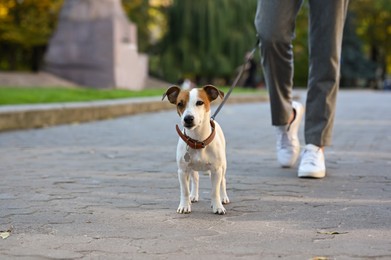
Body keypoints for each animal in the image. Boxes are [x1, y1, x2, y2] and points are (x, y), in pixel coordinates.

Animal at [162, 84, 230, 214]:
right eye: (180, 104)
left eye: (199, 102)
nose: (188, 118)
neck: (198, 141)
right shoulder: (182, 171)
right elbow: (185, 191)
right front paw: (184, 205)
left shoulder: (216, 170)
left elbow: (215, 191)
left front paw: (217, 206)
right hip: (192, 168)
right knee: (195, 179)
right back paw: (193, 196)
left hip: (223, 166)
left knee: (223, 181)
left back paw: (224, 197)